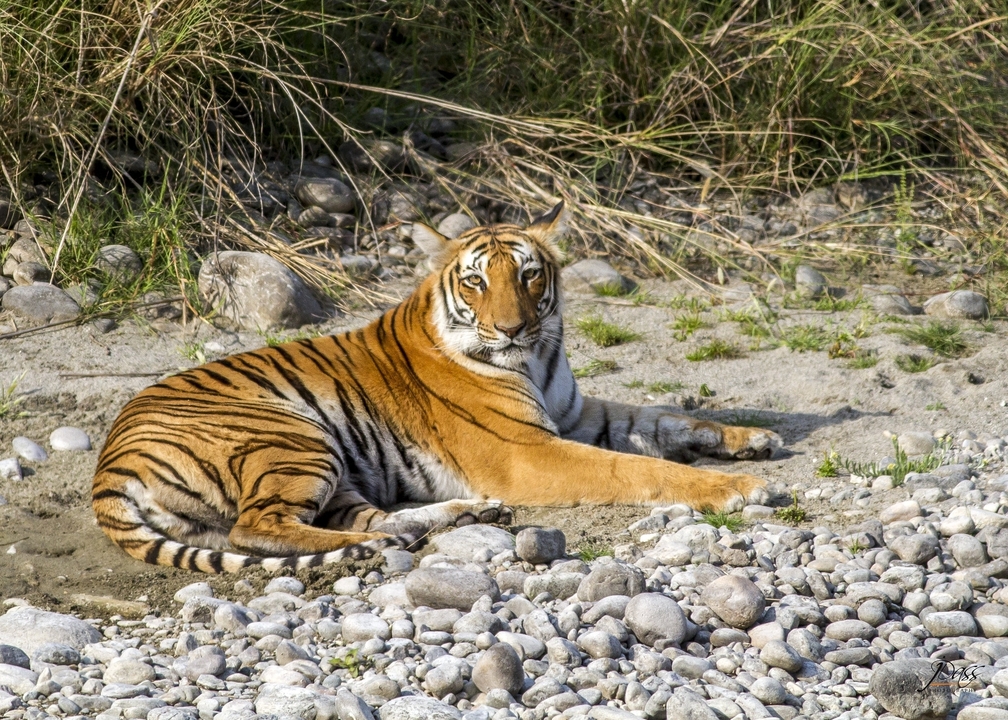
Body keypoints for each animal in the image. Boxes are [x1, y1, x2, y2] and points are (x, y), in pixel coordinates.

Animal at [92, 201, 781, 573]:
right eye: (476, 282)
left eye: (530, 276)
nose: (512, 328)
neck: (538, 357)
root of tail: (106, 467)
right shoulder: (529, 451)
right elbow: (632, 468)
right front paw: (737, 488)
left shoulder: (576, 414)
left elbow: (663, 418)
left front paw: (752, 438)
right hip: (291, 435)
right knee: (256, 527)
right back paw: (381, 543)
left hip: (330, 464)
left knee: (364, 516)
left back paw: (454, 518)